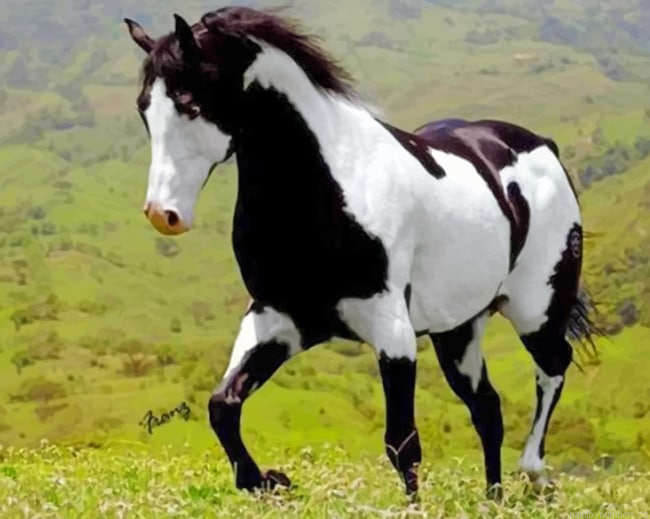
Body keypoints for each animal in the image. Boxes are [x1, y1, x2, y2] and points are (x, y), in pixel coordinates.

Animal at [123, 6, 601, 500]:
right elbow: (223, 405)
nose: (164, 214)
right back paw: (493, 499)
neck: (331, 189)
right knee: (487, 407)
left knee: (553, 367)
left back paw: (535, 472)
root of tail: (543, 145)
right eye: (144, 107)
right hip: (460, 329)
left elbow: (402, 443)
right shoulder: (278, 319)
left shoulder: (392, 330)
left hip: (536, 310)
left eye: (190, 103)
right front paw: (268, 481)